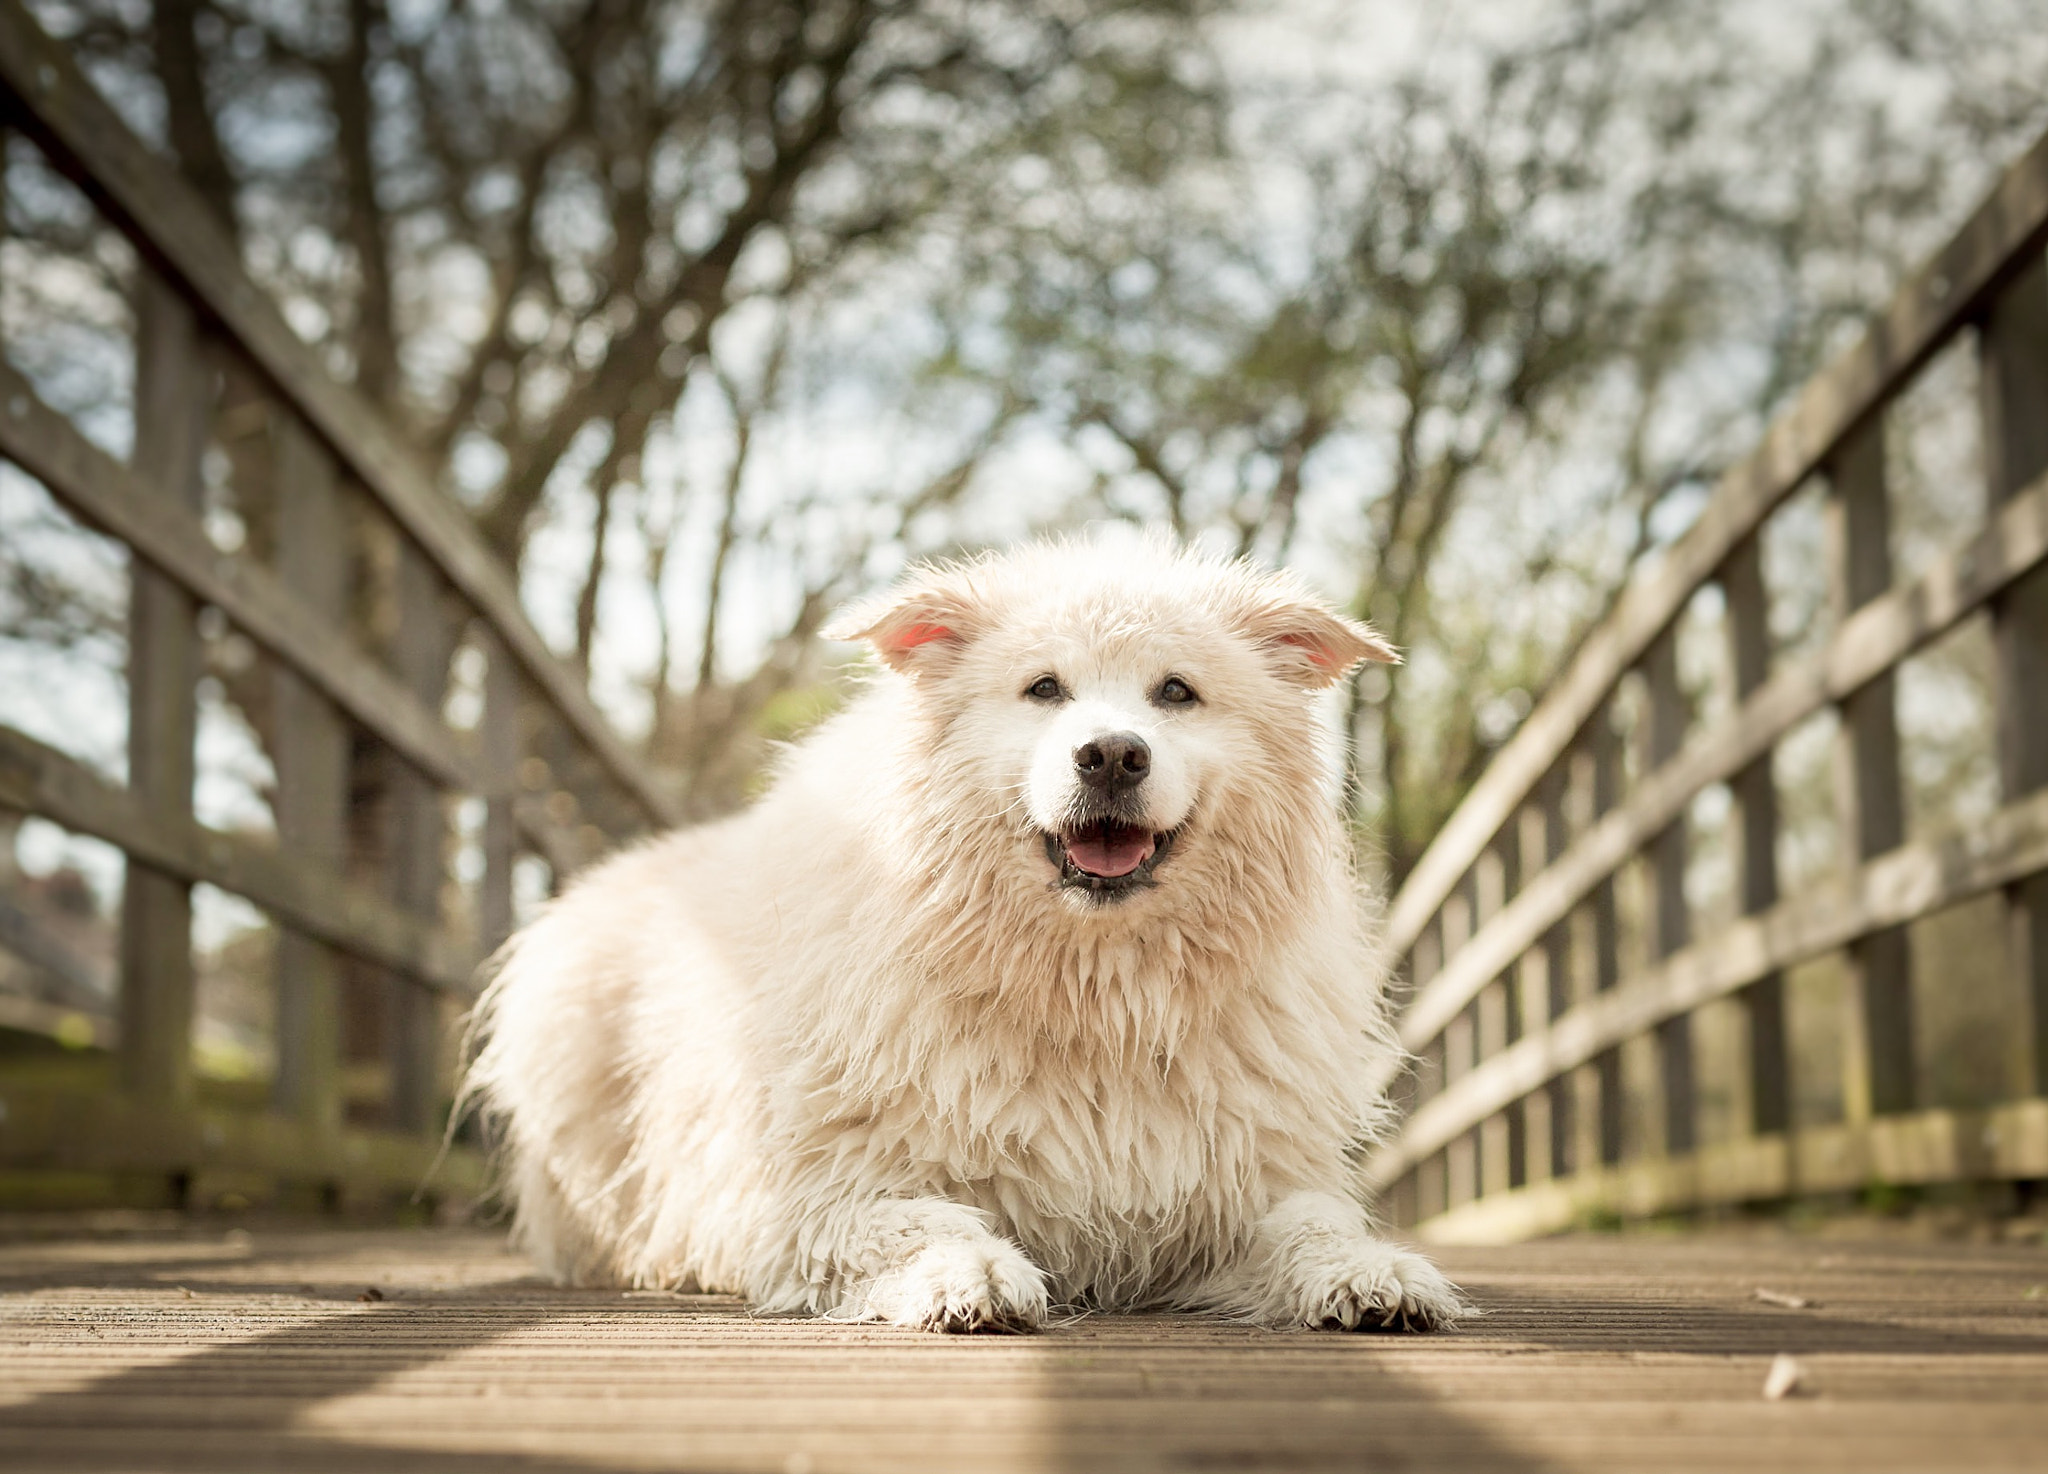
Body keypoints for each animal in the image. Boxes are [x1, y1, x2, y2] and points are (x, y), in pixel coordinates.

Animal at [464, 540, 1458, 1334]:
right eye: (1044, 689)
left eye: (1177, 693)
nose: (1111, 754)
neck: (1091, 997)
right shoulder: (816, 1196)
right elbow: (918, 1222)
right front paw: (967, 1274)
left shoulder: (1223, 1193)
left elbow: (1314, 1224)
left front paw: (1371, 1273)